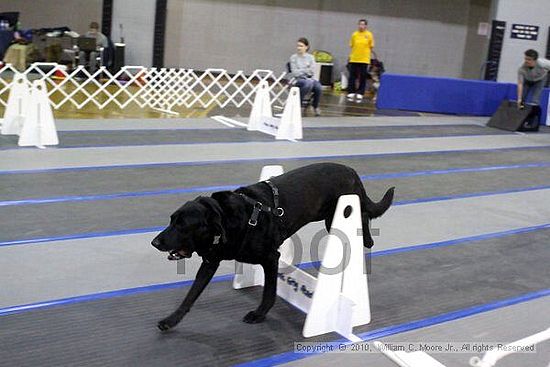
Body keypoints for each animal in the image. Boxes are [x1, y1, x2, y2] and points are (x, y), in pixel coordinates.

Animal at [151, 162, 394, 332]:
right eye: (171, 220)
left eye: (182, 225)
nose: (154, 242)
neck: (227, 219)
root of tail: (351, 170)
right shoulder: (210, 263)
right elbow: (190, 296)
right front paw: (171, 320)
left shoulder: (270, 258)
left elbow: (269, 291)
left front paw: (259, 315)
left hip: (342, 210)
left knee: (364, 214)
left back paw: (368, 240)